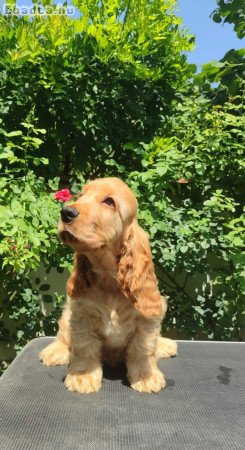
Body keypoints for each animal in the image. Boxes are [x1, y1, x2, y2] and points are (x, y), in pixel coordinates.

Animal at [40, 178, 178, 392]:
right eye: (81, 196)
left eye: (109, 201)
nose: (66, 212)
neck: (109, 280)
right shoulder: (82, 315)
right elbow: (84, 347)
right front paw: (83, 376)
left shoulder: (147, 319)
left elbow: (143, 349)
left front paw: (146, 376)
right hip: (67, 312)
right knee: (63, 335)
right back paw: (56, 351)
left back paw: (165, 345)